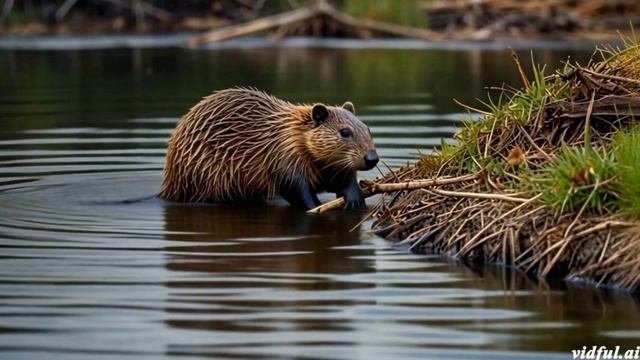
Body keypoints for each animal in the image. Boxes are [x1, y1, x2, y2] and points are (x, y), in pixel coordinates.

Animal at [160, 88, 378, 210]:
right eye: (344, 132)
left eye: (367, 127)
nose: (372, 158)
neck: (294, 133)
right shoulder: (283, 154)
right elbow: (294, 187)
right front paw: (316, 206)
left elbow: (342, 179)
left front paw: (356, 200)